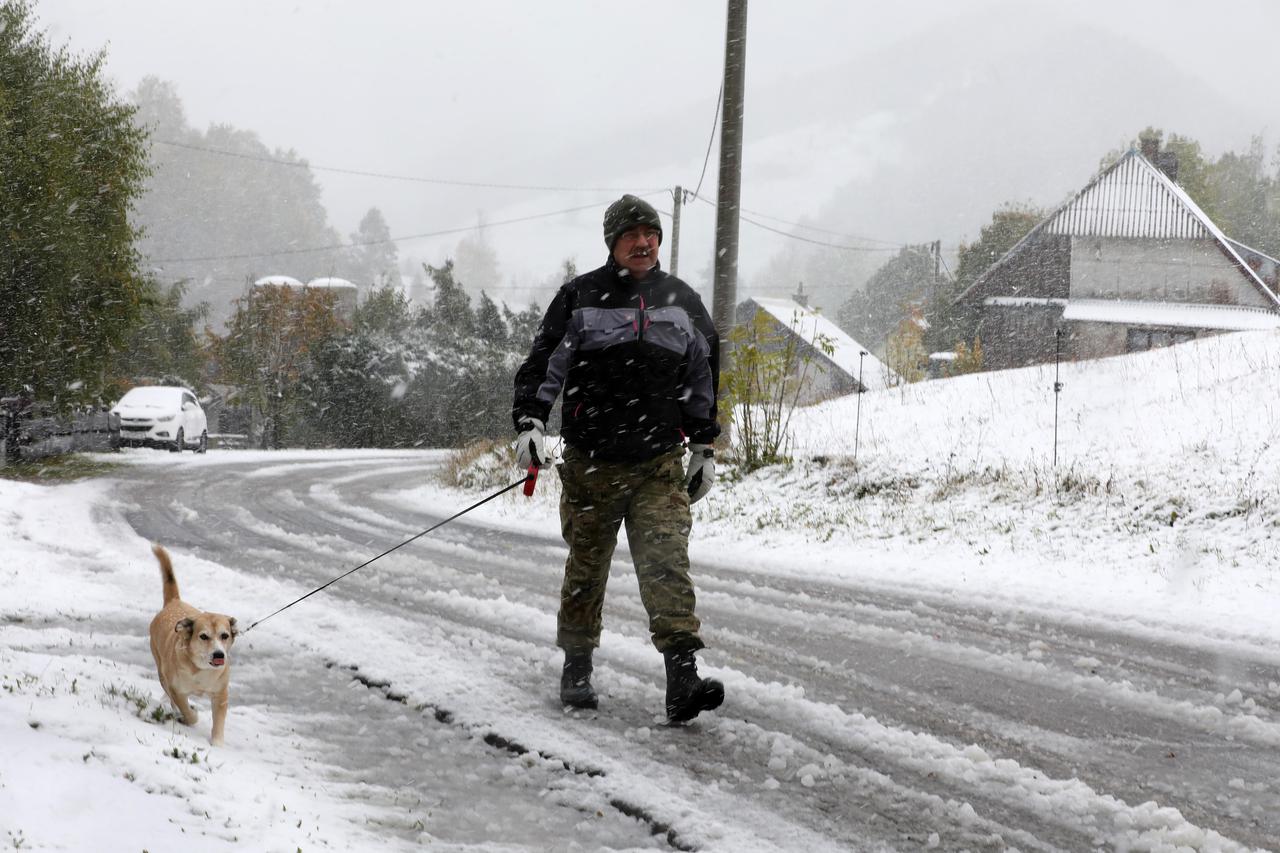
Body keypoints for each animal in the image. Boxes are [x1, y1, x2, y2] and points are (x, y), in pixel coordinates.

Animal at [149, 545, 240, 742]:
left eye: (224, 635)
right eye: (203, 636)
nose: (219, 654)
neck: (201, 668)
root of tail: (174, 602)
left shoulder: (220, 694)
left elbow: (219, 722)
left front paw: (217, 743)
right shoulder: (177, 690)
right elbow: (187, 711)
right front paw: (190, 715)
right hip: (161, 672)